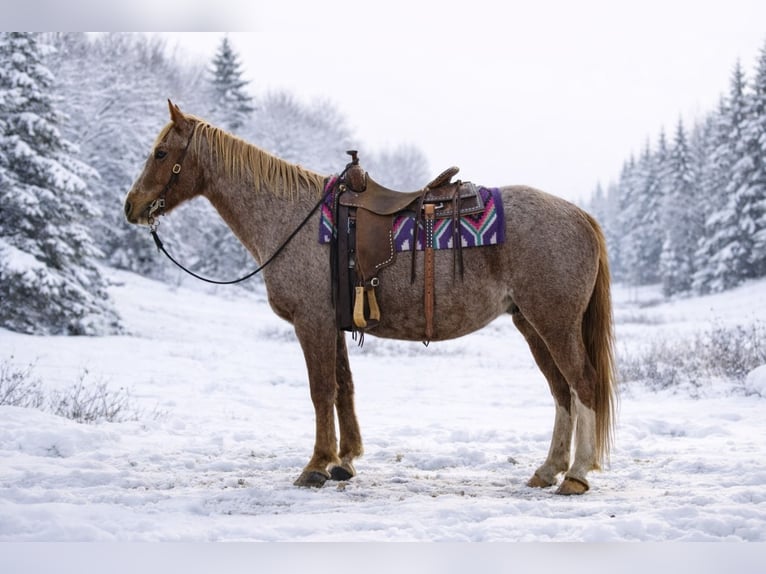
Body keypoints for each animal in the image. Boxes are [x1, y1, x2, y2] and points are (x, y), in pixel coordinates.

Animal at [124, 101, 617, 495]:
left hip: (554, 323)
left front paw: (316, 465)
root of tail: (581, 216)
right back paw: (549, 470)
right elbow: (344, 387)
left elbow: (321, 390)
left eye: (161, 153)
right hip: (531, 324)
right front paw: (344, 460)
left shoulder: (312, 322)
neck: (293, 219)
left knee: (583, 384)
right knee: (562, 391)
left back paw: (576, 475)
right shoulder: (335, 323)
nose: (131, 206)